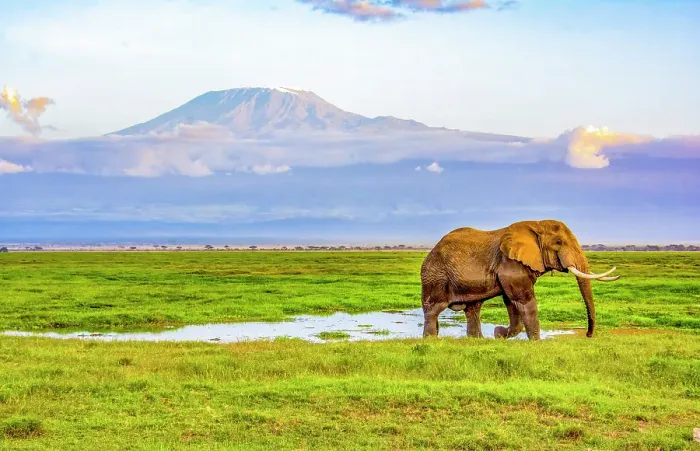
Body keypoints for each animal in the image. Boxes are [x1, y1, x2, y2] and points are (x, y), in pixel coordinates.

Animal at [420, 219, 619, 341]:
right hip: (435, 275)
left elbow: (511, 301)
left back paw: (477, 340)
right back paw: (431, 340)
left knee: (473, 308)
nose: (588, 335)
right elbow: (523, 300)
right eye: (559, 243)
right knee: (434, 309)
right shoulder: (511, 264)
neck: (536, 224)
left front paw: (499, 334)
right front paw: (536, 343)